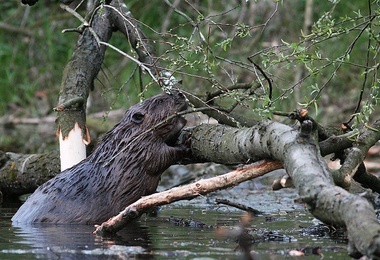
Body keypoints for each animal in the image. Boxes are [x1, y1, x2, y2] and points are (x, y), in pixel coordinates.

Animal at [11, 91, 189, 223]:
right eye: (160, 100)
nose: (180, 94)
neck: (126, 138)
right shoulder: (140, 149)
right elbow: (159, 158)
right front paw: (184, 142)